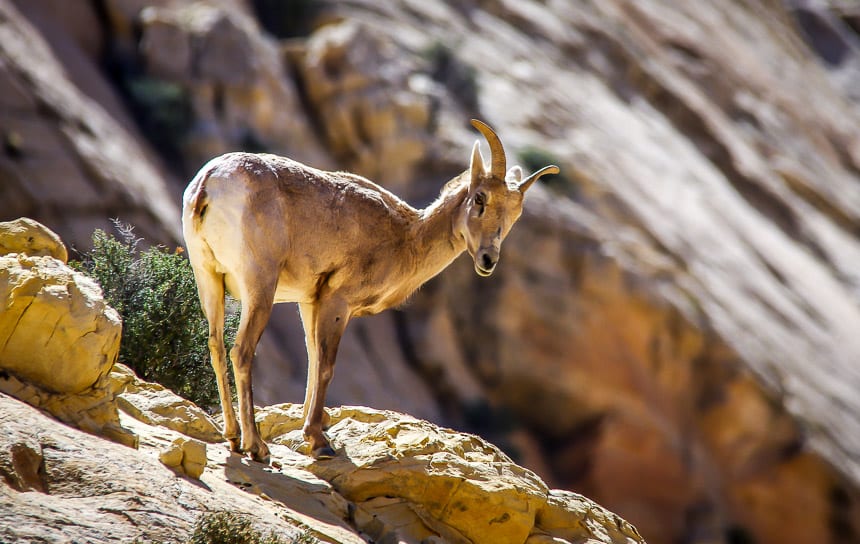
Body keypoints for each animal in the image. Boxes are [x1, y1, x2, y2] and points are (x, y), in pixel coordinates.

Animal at [181, 119, 556, 460]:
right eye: (480, 197)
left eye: (515, 214)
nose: (488, 259)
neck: (406, 236)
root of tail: (210, 181)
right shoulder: (337, 302)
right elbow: (327, 365)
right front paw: (319, 441)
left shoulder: (309, 301)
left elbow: (312, 358)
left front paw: (313, 427)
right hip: (260, 285)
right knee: (242, 350)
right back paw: (256, 447)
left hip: (208, 278)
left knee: (216, 345)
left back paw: (232, 437)